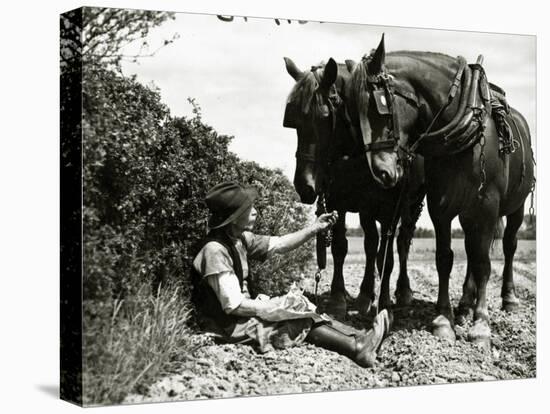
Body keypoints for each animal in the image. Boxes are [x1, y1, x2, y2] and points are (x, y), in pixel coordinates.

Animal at [284, 57, 426, 316]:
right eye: (294, 121)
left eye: (324, 116)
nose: (304, 185)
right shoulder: (342, 202)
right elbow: (342, 247)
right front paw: (339, 297)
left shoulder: (390, 208)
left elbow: (384, 253)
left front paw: (380, 299)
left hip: (413, 204)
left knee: (402, 243)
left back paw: (402, 292)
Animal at [348, 35, 536, 348]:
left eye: (379, 108)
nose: (382, 172)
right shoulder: (442, 207)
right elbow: (445, 259)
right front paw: (443, 319)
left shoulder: (487, 206)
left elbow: (484, 264)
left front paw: (481, 326)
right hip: (468, 214)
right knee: (471, 251)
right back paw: (464, 306)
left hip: (515, 208)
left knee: (508, 246)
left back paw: (507, 299)